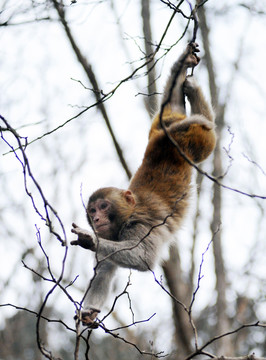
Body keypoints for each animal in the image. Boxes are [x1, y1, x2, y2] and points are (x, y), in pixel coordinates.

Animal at [70, 43, 216, 326]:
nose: (96, 219)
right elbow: (106, 268)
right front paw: (89, 311)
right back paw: (184, 72)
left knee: (206, 130)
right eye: (92, 211)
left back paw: (202, 112)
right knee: (170, 107)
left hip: (196, 141)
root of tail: (162, 140)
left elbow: (142, 257)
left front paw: (88, 238)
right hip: (162, 126)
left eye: (103, 207)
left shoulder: (140, 226)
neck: (125, 216)